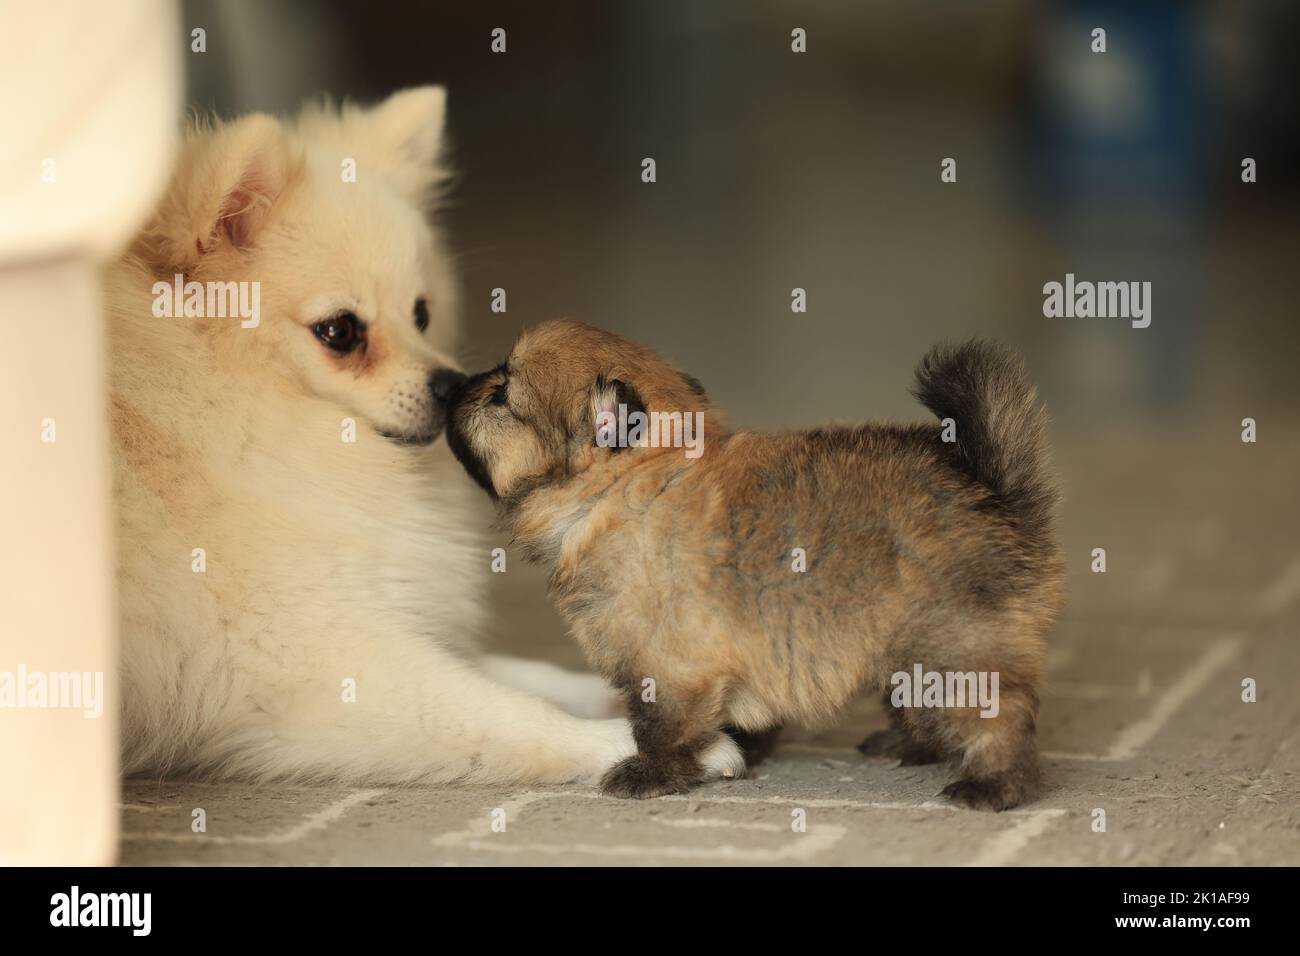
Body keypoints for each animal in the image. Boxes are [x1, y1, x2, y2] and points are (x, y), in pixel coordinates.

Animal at [107, 87, 644, 785]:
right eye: (340, 332)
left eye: (421, 313)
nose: (452, 385)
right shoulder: (304, 660)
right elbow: (503, 710)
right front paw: (622, 742)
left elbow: (504, 672)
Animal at [447, 321, 1066, 806]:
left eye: (502, 394)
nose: (457, 383)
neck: (626, 487)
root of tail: (995, 493)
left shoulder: (668, 663)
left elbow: (661, 728)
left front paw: (650, 775)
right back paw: (905, 745)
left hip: (952, 648)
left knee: (997, 719)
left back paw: (990, 786)